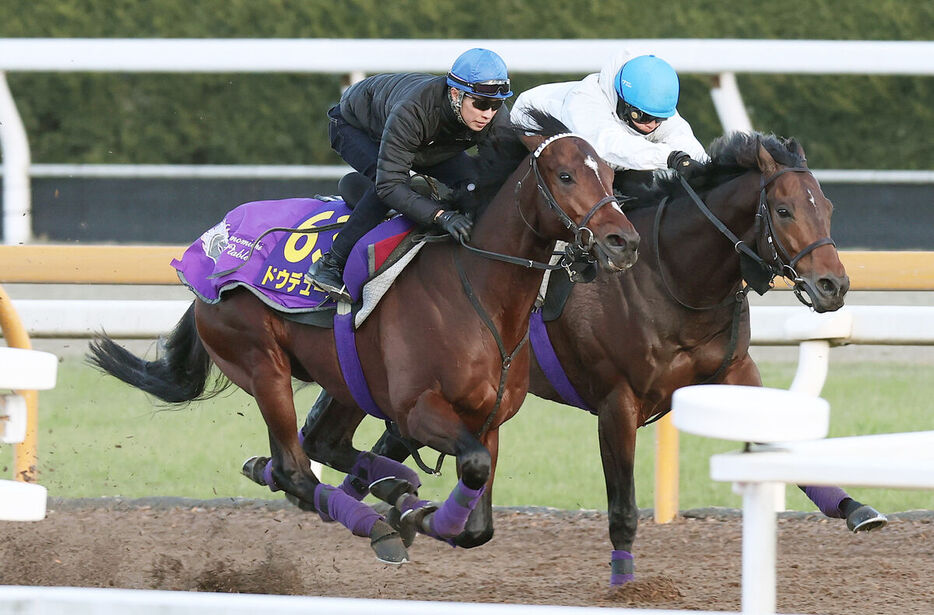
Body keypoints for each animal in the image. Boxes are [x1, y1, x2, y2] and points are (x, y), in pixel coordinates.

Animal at [89, 113, 644, 564]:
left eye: (611, 175)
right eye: (565, 175)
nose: (624, 241)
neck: (479, 293)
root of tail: (206, 250)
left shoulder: (489, 420)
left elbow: (478, 523)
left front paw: (415, 511)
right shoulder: (417, 410)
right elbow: (471, 467)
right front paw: (408, 517)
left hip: (344, 379)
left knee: (321, 445)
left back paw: (384, 483)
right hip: (261, 363)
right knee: (294, 468)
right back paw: (373, 518)